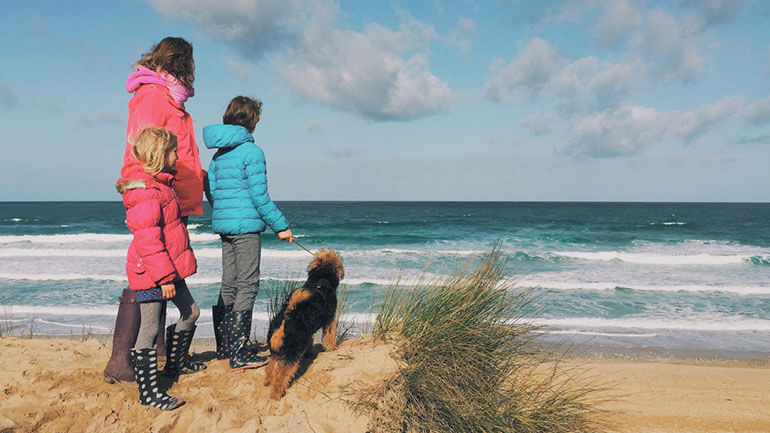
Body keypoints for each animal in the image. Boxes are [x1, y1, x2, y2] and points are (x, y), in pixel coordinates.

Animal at [264, 248, 342, 400]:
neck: (321, 278)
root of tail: (286, 317)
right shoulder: (329, 319)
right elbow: (329, 336)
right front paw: (332, 348)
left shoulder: (307, 331)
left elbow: (310, 341)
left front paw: (309, 352)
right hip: (291, 353)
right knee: (281, 376)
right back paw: (276, 394)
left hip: (277, 351)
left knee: (271, 367)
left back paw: (268, 381)